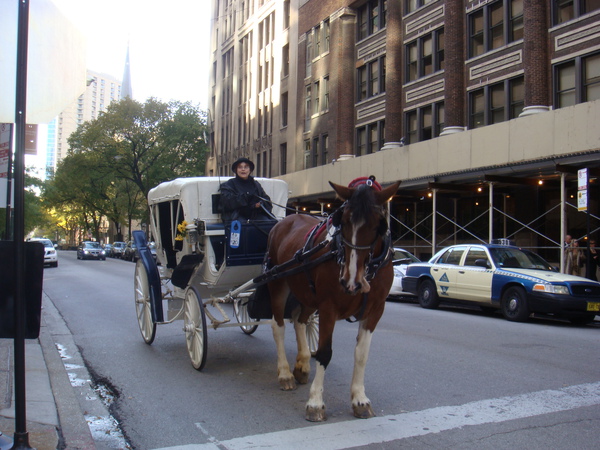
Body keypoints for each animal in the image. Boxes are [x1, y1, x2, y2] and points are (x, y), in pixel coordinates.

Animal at [266, 177, 398, 422]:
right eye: (343, 221)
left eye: (378, 225)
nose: (351, 281)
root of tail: (285, 219)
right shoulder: (328, 307)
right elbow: (325, 353)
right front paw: (315, 402)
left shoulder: (376, 309)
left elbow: (361, 354)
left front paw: (359, 399)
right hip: (277, 284)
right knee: (278, 325)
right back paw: (285, 373)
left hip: (307, 293)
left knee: (299, 319)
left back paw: (302, 364)